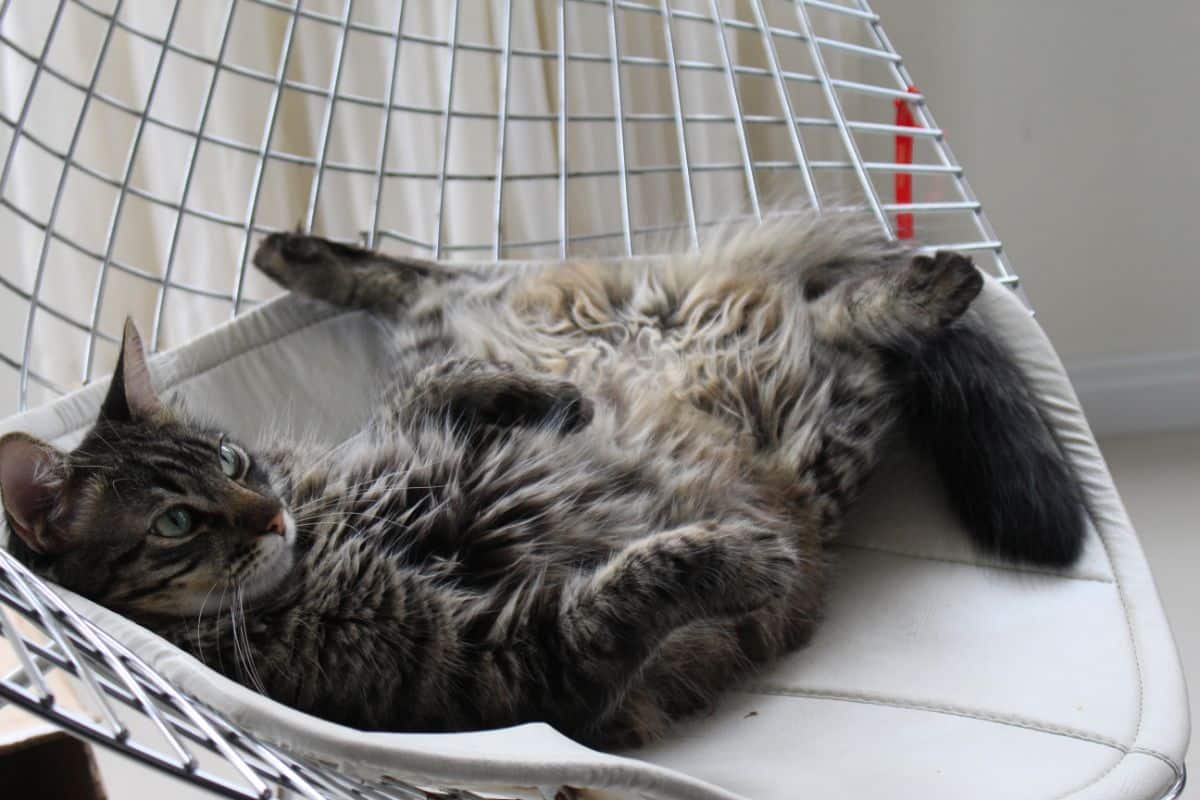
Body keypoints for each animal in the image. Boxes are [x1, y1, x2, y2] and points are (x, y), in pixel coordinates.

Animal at [2, 212, 1089, 753]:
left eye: (229, 462)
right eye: (176, 523)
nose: (266, 515)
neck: (326, 538)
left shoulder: (381, 435)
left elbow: (439, 395)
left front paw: (551, 401)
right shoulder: (513, 661)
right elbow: (634, 584)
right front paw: (742, 557)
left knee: (440, 282)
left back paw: (295, 250)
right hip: (826, 423)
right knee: (845, 324)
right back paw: (932, 285)